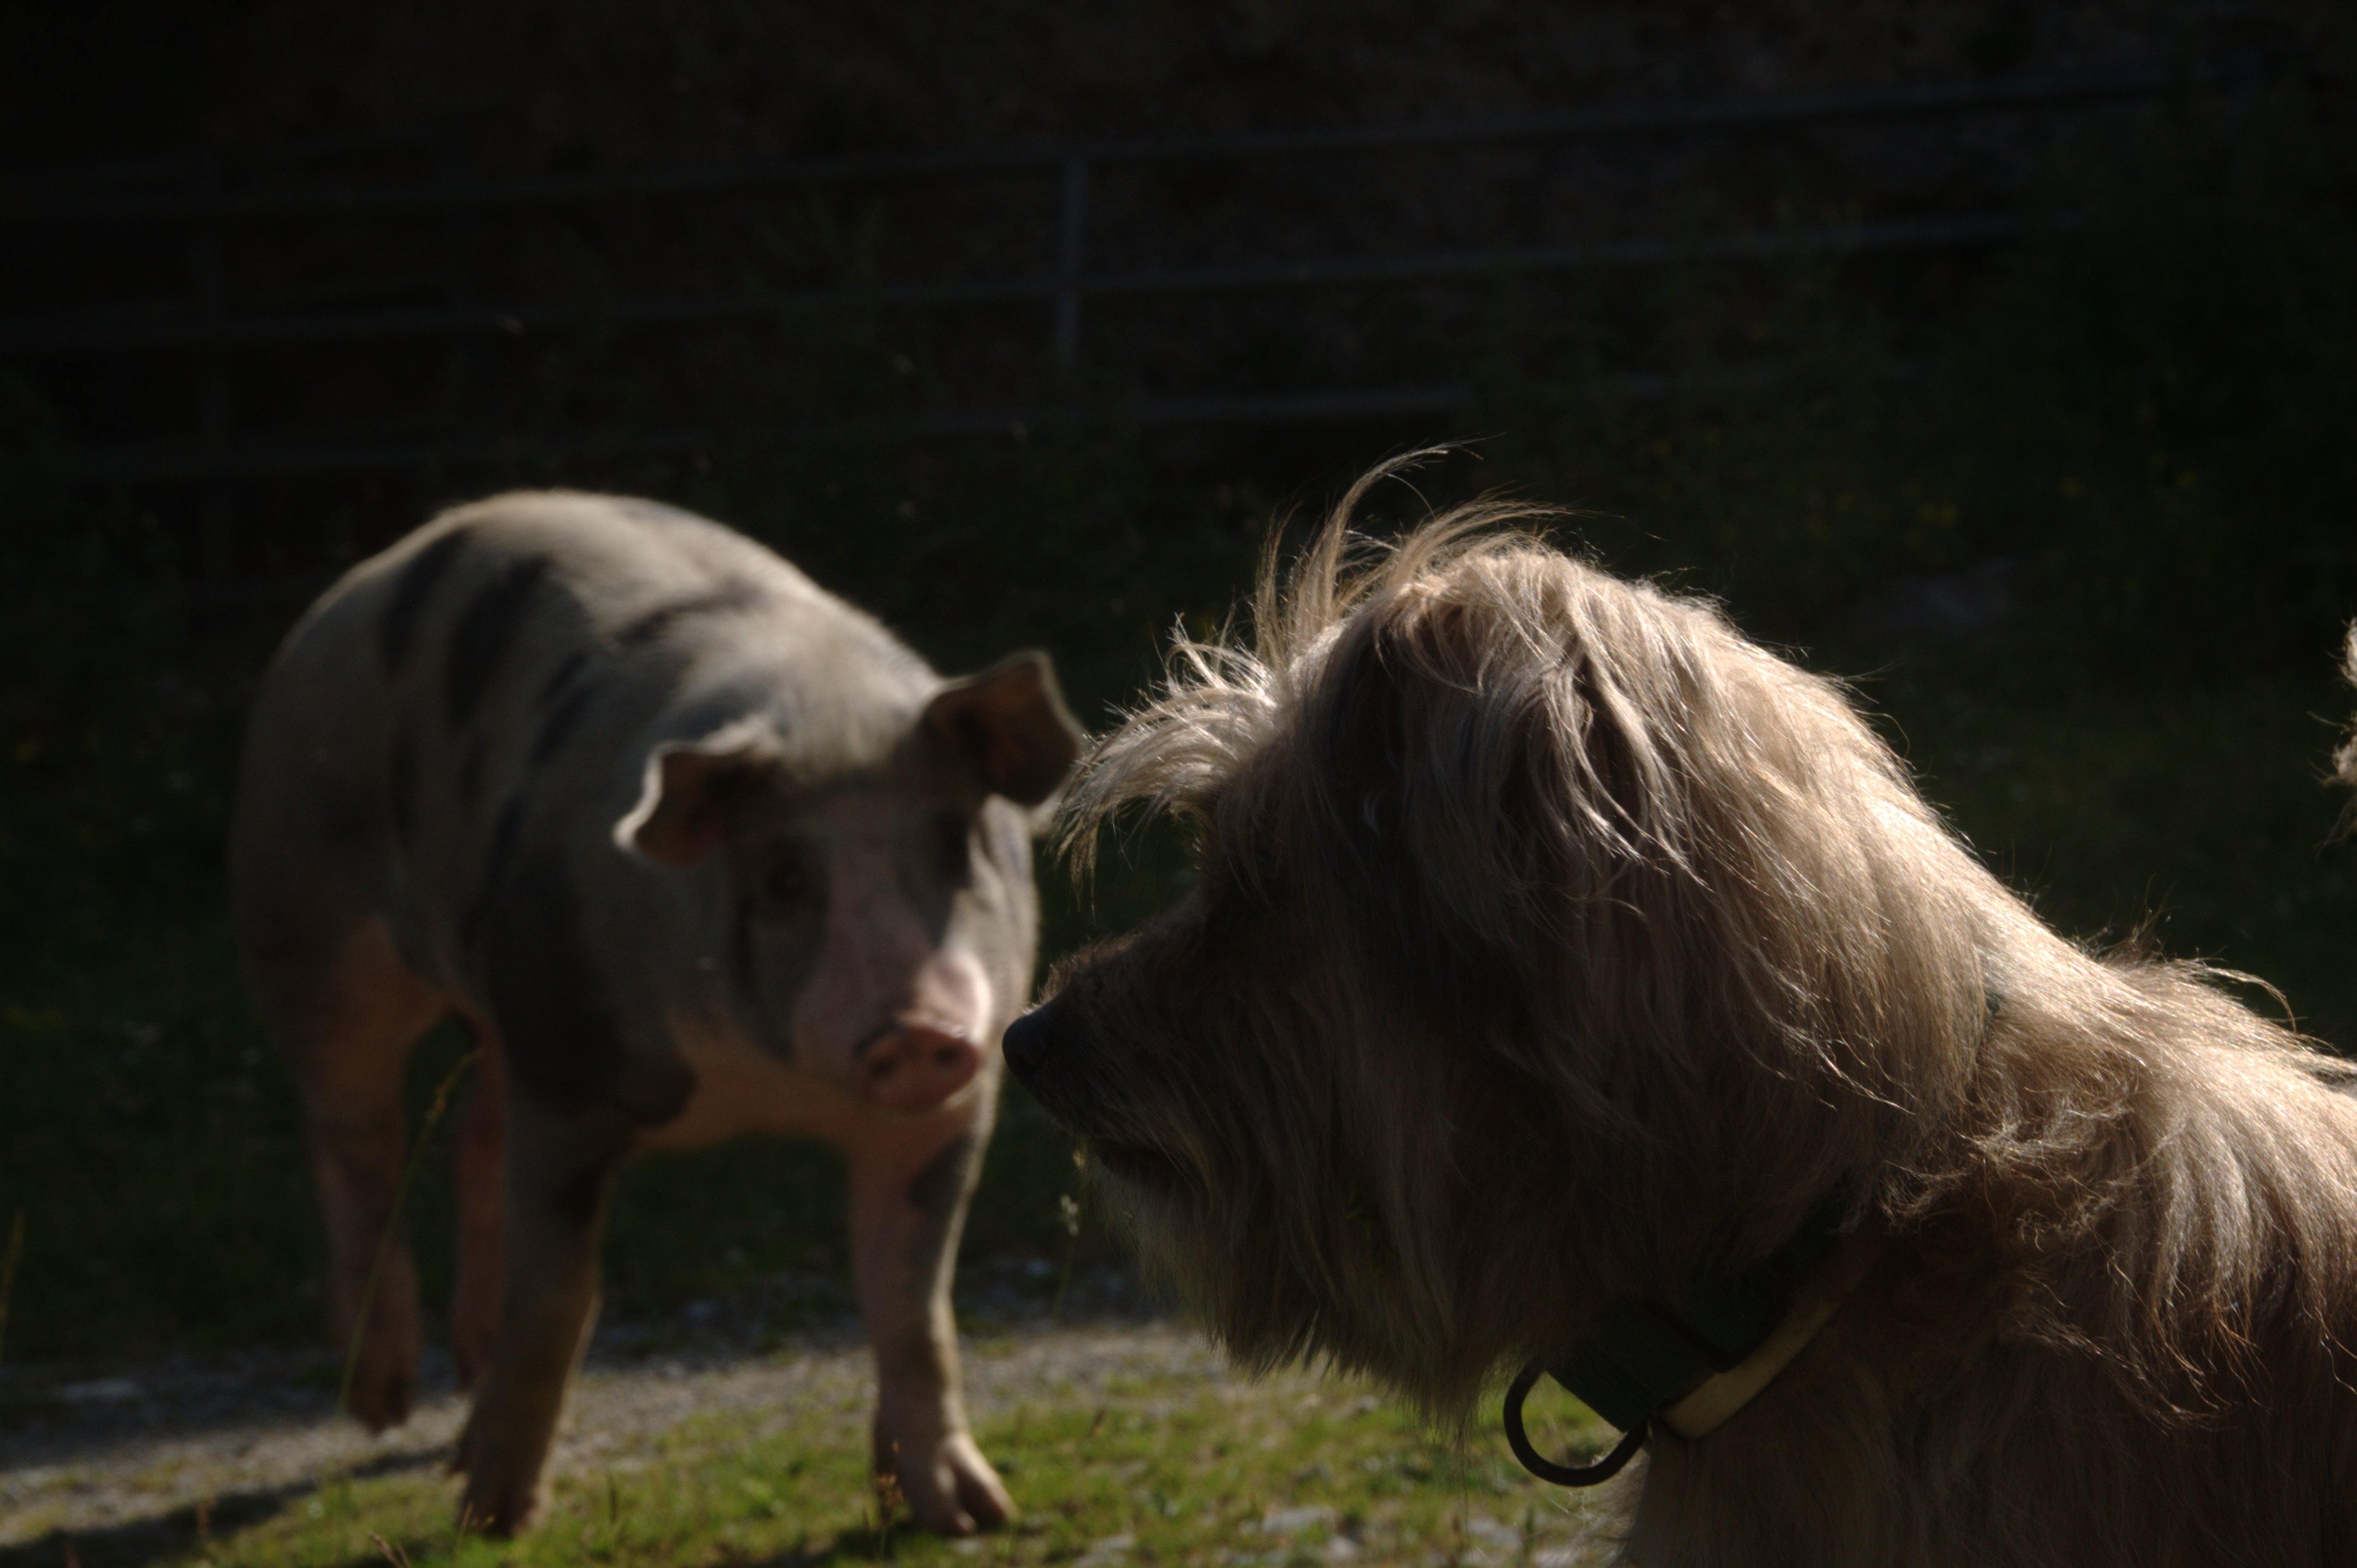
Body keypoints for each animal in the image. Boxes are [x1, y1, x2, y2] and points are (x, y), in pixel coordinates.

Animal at [230, 490, 1079, 1528]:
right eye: (783, 877)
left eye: (955, 844)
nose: (918, 1028)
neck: (753, 1091)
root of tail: (359, 585)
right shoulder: (566, 1064)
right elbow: (559, 1292)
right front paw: (494, 1518)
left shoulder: (947, 1111)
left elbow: (913, 1306)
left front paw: (967, 1513)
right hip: (305, 912)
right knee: (351, 1135)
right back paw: (383, 1403)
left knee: (472, 1130)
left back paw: (458, 1383)